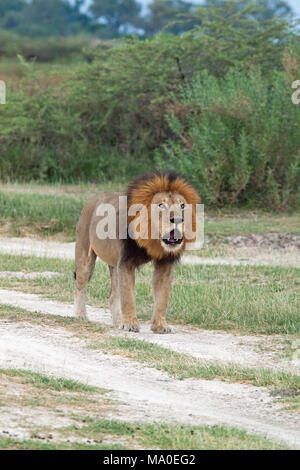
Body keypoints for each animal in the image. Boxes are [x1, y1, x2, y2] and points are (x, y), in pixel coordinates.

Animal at [73, 171, 199, 332]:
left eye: (182, 205)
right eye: (161, 205)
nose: (178, 219)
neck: (152, 239)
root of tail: (92, 199)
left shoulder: (164, 264)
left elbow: (162, 296)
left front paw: (160, 325)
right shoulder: (126, 262)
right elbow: (128, 296)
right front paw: (130, 324)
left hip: (114, 265)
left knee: (113, 296)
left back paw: (117, 322)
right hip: (85, 258)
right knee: (80, 287)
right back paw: (80, 315)